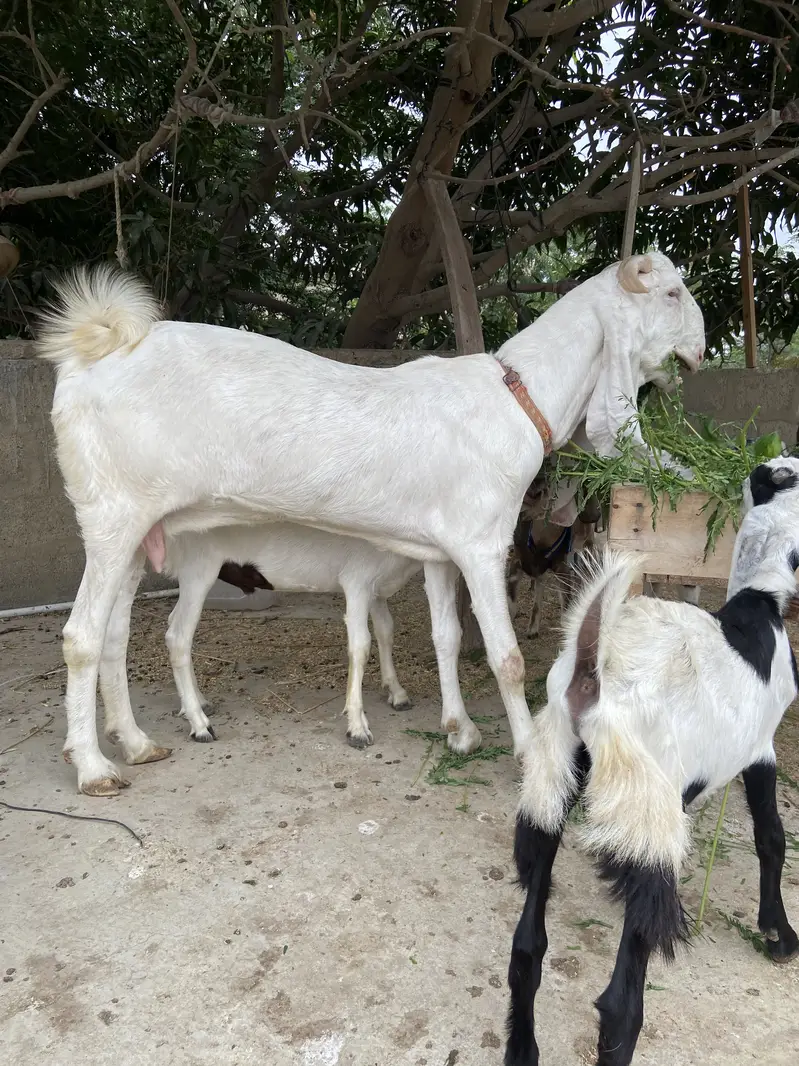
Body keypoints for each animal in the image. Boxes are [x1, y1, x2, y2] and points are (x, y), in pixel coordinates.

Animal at [98, 523, 427, 753]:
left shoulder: (376, 590)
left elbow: (386, 631)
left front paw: (396, 692)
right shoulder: (357, 581)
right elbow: (360, 645)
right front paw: (357, 727)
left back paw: (200, 703)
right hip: (198, 568)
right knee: (178, 635)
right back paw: (199, 724)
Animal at [505, 457, 799, 1066]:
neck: (759, 602)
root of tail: (593, 671)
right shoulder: (760, 748)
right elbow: (772, 837)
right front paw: (779, 935)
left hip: (553, 780)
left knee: (527, 948)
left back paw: (521, 1050)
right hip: (648, 810)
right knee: (620, 1006)